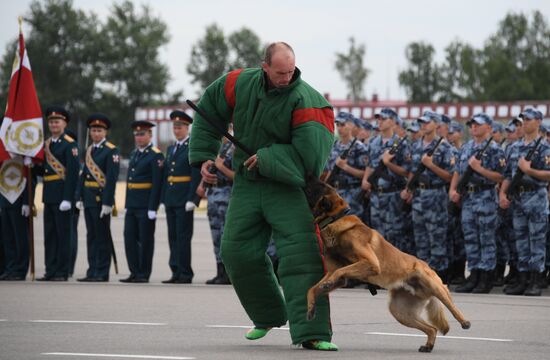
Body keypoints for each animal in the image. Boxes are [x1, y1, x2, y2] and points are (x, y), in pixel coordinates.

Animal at [304, 177, 472, 352]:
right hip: (400, 312)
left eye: (320, 185)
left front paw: (325, 287)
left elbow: (339, 272)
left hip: (433, 285)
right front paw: (311, 307)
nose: (308, 177)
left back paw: (464, 321)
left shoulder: (370, 263)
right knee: (432, 328)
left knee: (450, 304)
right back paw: (428, 345)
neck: (336, 219)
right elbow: (312, 288)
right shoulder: (337, 275)